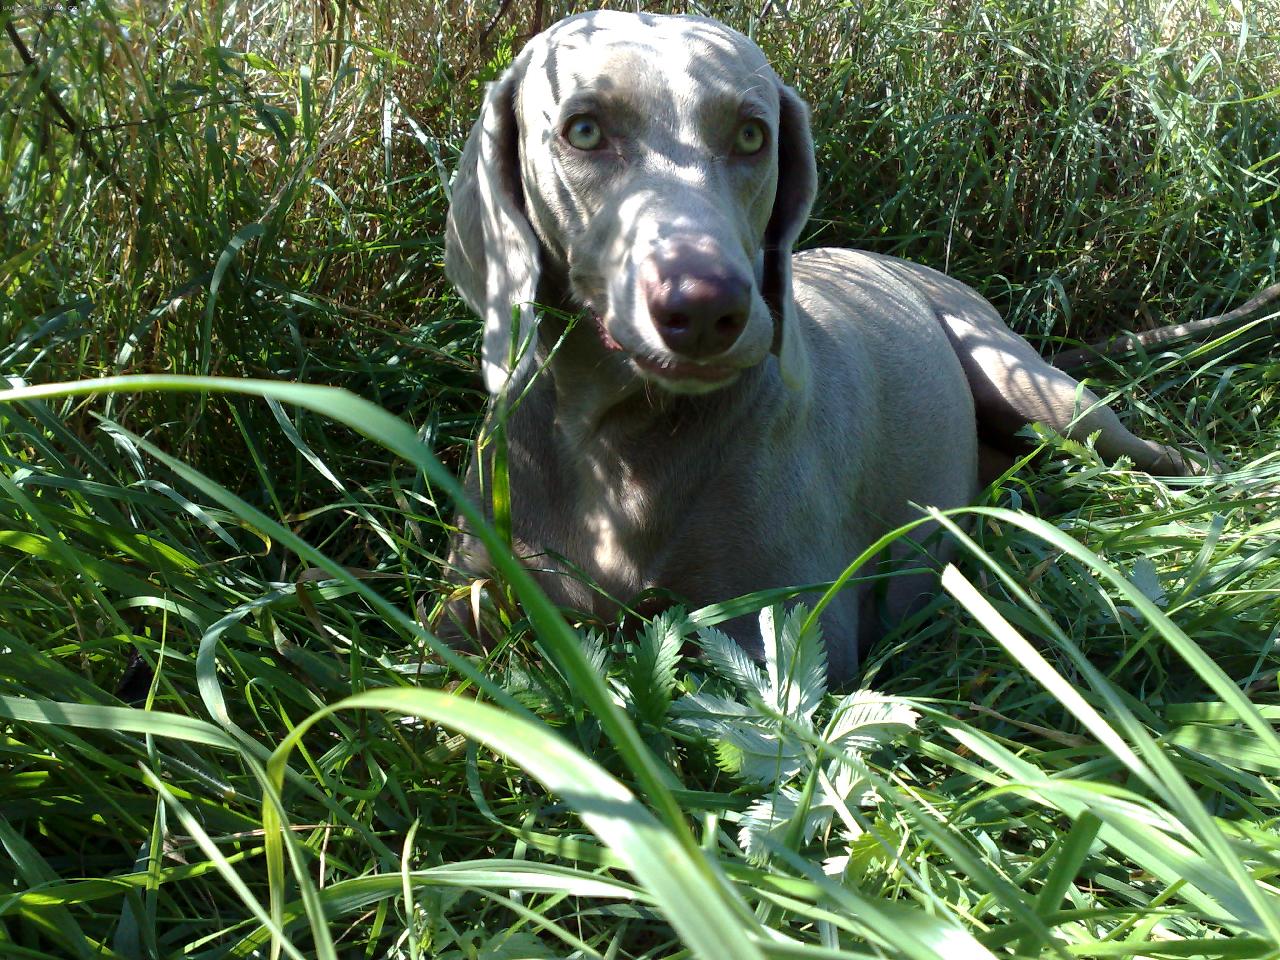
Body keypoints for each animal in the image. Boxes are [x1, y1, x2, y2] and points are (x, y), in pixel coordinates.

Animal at [442, 11, 1190, 680]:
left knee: (1151, 455)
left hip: (1034, 391)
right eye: (584, 129)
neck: (613, 437)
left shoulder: (790, 636)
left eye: (752, 135)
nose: (707, 307)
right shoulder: (463, 600)